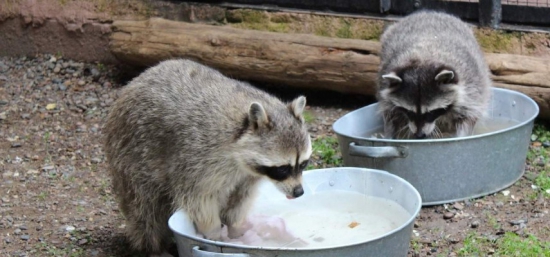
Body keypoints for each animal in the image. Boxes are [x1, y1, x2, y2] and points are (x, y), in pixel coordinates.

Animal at [378, 10, 494, 138]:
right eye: (409, 111)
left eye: (431, 112)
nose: (419, 135)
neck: (423, 58)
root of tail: (429, 12)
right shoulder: (385, 83)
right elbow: (390, 113)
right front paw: (389, 134)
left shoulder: (471, 85)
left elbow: (468, 116)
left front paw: (461, 136)